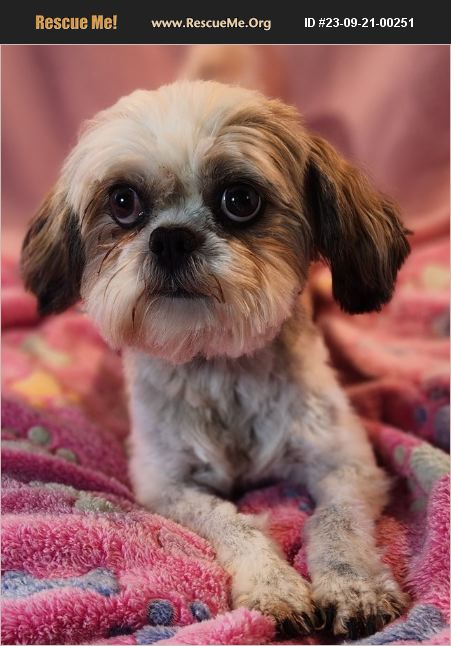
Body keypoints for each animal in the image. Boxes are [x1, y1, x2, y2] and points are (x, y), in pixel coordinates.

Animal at [21, 80, 411, 639]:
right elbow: (232, 521)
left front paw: (354, 587)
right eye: (123, 202)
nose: (170, 237)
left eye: (240, 200)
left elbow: (334, 521)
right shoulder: (166, 484)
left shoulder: (346, 464)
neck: (219, 360)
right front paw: (273, 587)